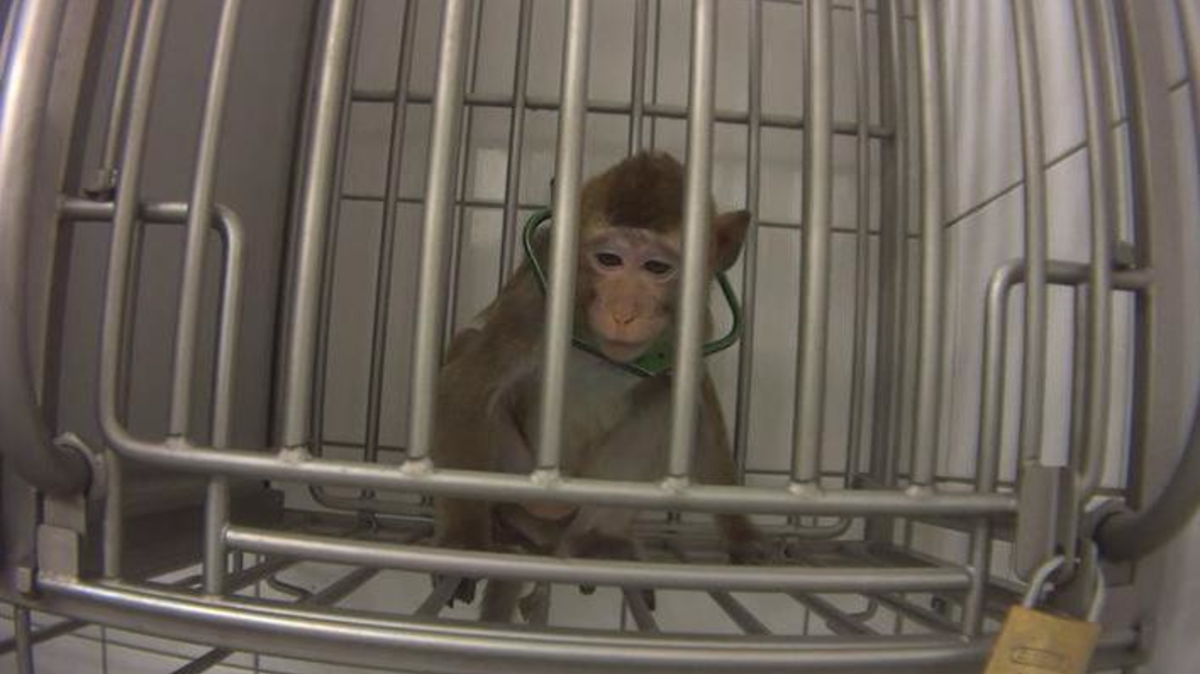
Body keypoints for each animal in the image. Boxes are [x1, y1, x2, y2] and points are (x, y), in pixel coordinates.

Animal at [430, 151, 763, 622]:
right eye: (608, 259)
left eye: (657, 267)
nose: (623, 311)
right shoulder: (535, 299)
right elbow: (467, 388)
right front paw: (463, 542)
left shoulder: (696, 325)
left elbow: (704, 414)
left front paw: (741, 531)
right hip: (522, 480)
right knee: (467, 344)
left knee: (663, 399)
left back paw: (600, 541)